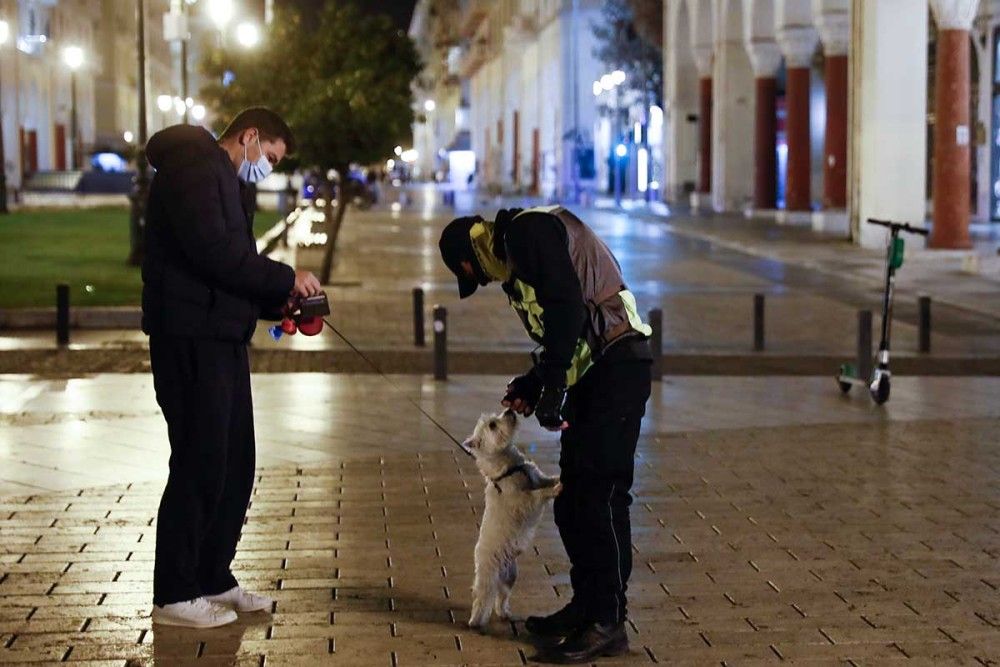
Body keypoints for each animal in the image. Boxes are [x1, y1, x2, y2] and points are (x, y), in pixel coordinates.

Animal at [462, 408, 564, 632]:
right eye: (492, 425)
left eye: (495, 417)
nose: (509, 410)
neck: (510, 468)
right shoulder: (522, 500)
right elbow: (538, 494)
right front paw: (555, 489)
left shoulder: (536, 475)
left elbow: (546, 479)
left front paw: (559, 479)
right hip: (488, 577)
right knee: (482, 599)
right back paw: (475, 622)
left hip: (510, 577)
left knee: (501, 598)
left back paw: (504, 614)